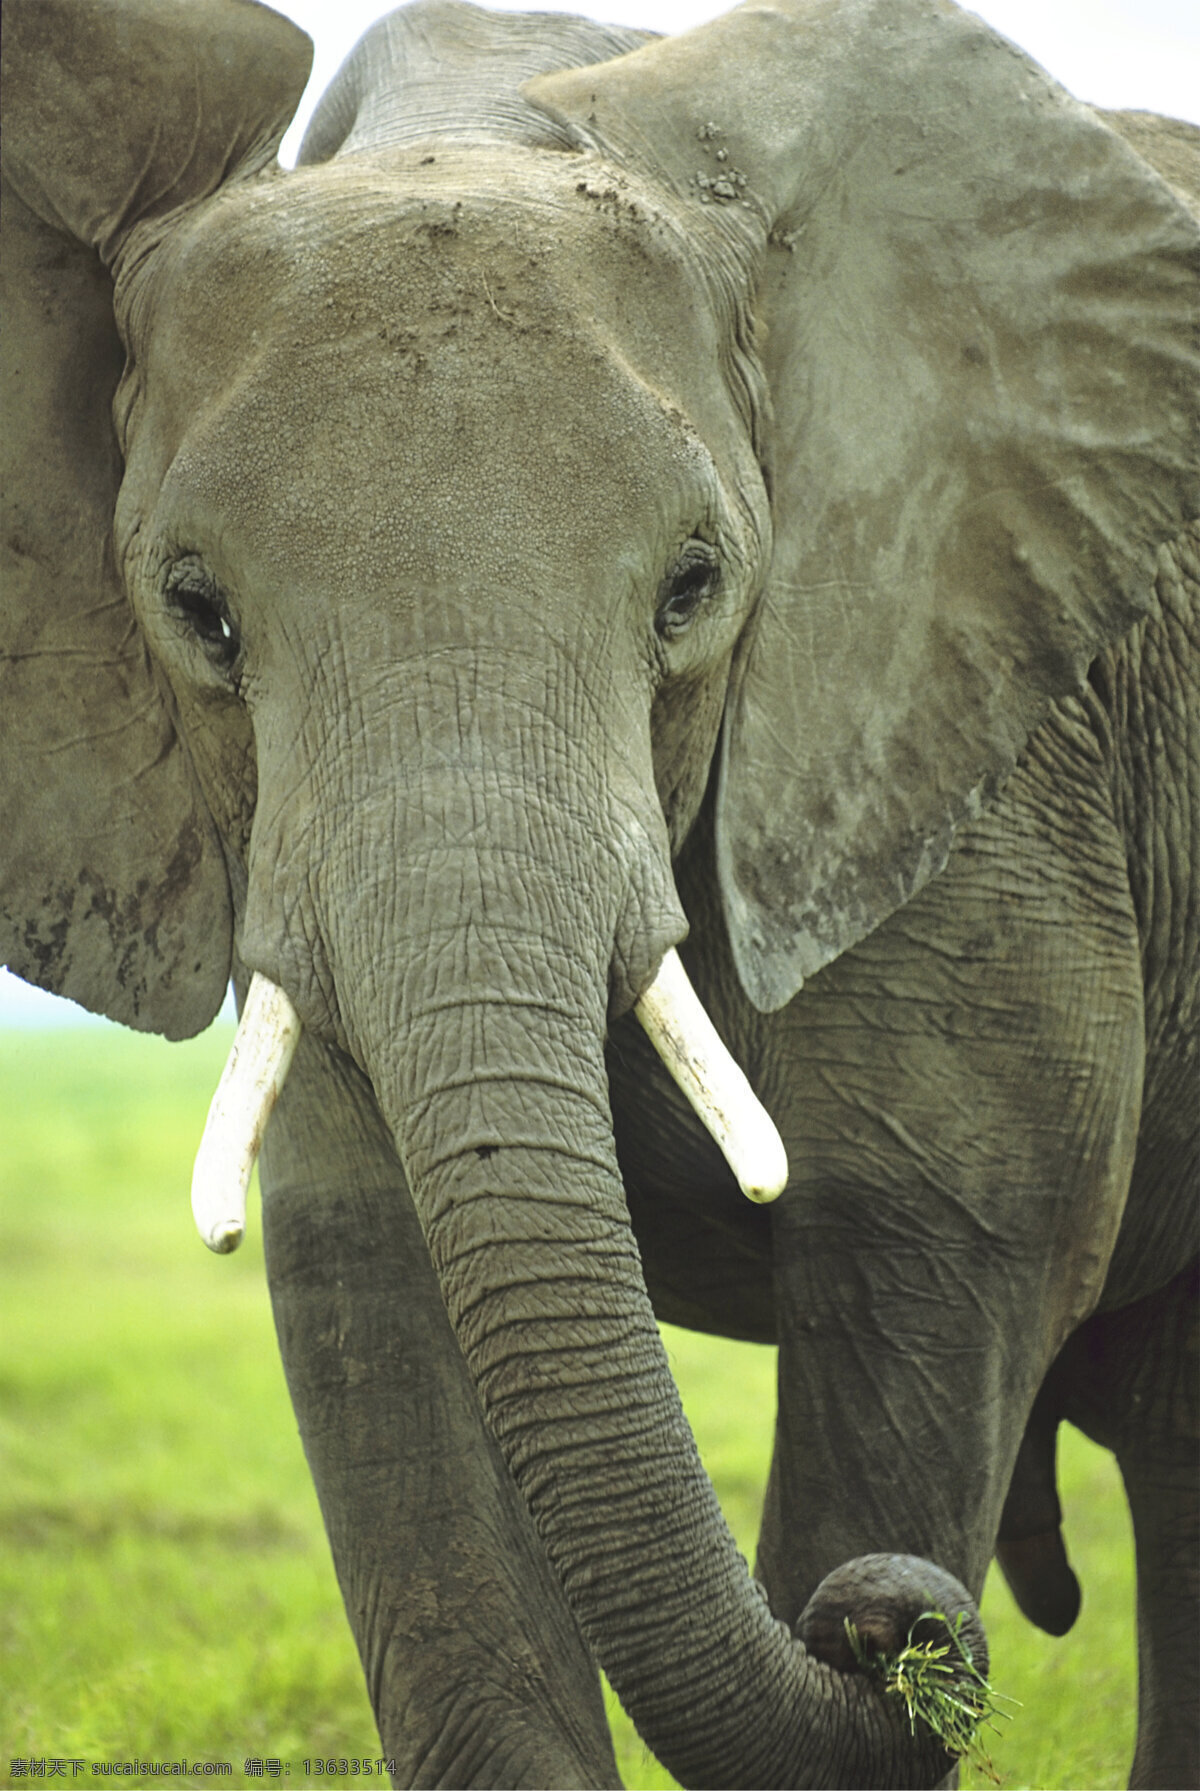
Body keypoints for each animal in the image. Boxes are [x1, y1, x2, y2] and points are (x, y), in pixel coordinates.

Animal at [2, 0, 1197, 1783]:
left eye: (694, 590)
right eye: (198, 614)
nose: (886, 1618)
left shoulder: (969, 733)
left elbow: (930, 1237)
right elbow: (377, 1291)